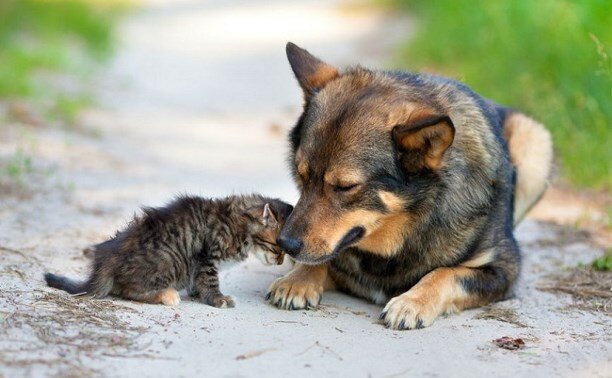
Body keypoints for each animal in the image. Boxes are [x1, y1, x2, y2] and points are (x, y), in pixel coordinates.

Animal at [44, 195, 292, 308]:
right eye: (276, 248)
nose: (281, 263)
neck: (238, 224)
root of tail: (107, 258)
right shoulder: (207, 257)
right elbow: (210, 281)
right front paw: (218, 299)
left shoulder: (200, 264)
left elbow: (198, 281)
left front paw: (196, 293)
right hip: (169, 259)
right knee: (127, 289)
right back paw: (167, 294)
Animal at [266, 42, 552, 330]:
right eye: (301, 175)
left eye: (346, 187)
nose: (285, 243)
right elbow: (323, 259)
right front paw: (297, 280)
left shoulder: (504, 270)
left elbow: (446, 273)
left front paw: (412, 302)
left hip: (534, 141)